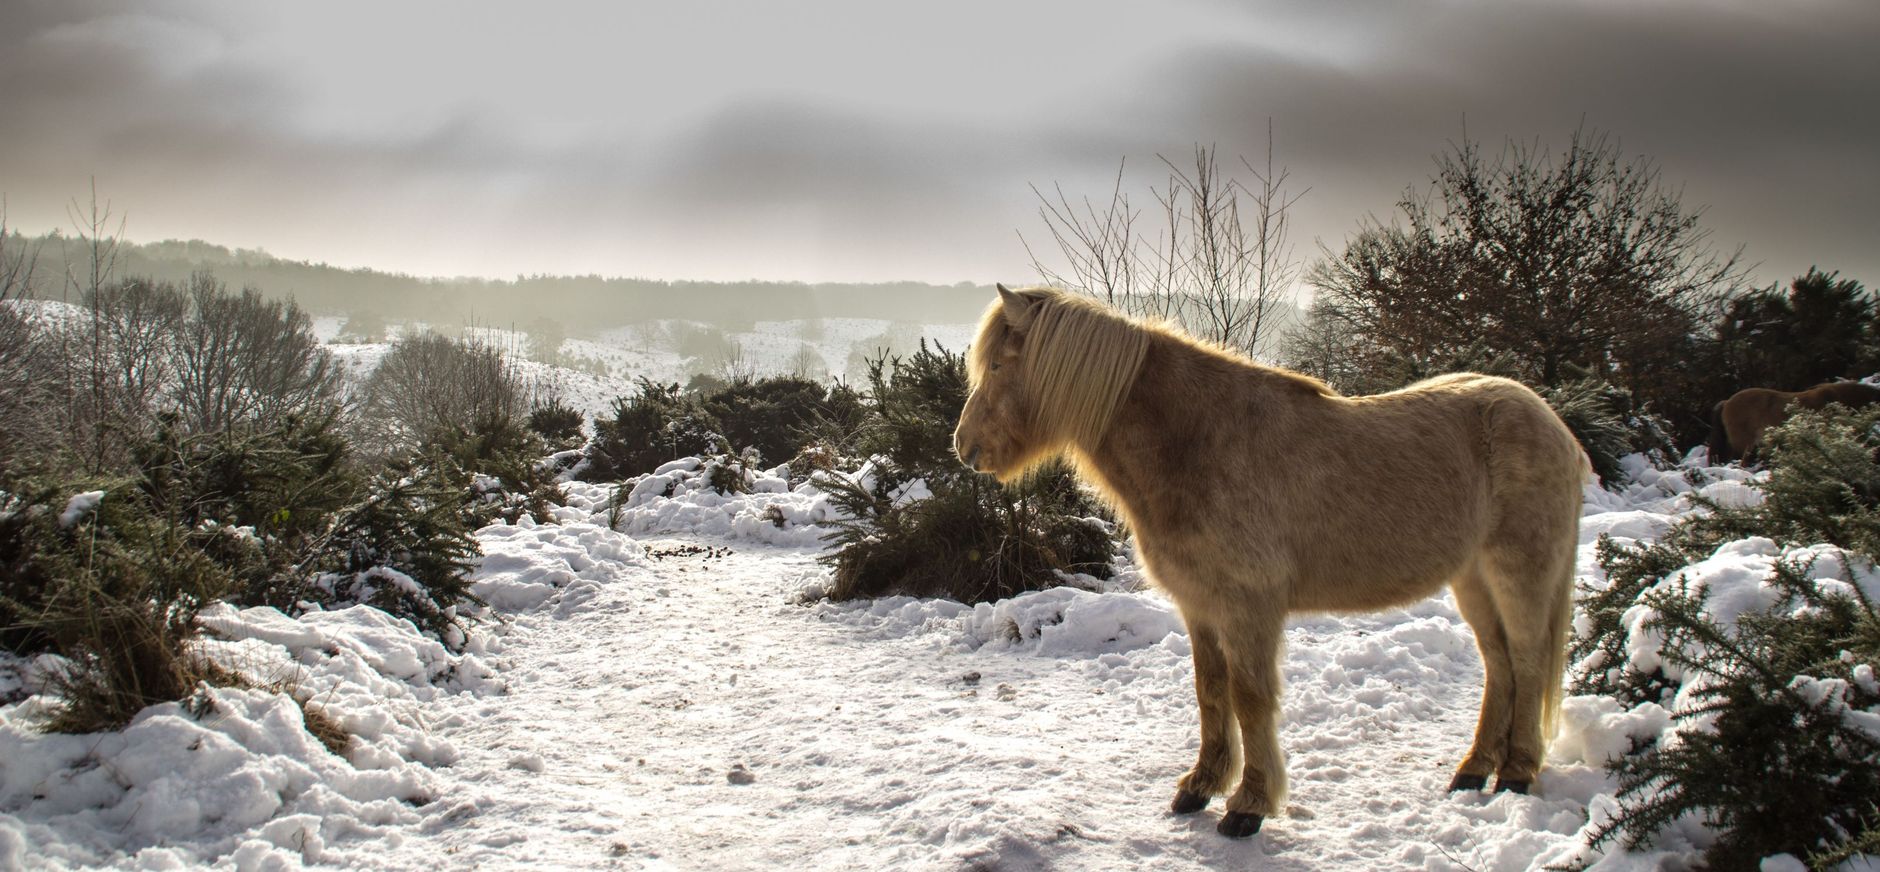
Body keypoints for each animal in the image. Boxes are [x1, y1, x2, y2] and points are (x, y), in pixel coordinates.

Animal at [953, 285, 1587, 838]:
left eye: (1001, 366)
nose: (964, 447)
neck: (1199, 442)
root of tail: (1553, 425)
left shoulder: (1248, 608)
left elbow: (1250, 699)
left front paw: (1248, 805)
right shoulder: (1200, 606)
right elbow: (1210, 691)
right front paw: (1200, 787)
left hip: (1518, 574)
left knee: (1527, 661)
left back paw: (1516, 772)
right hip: (1473, 579)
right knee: (1499, 664)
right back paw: (1474, 769)